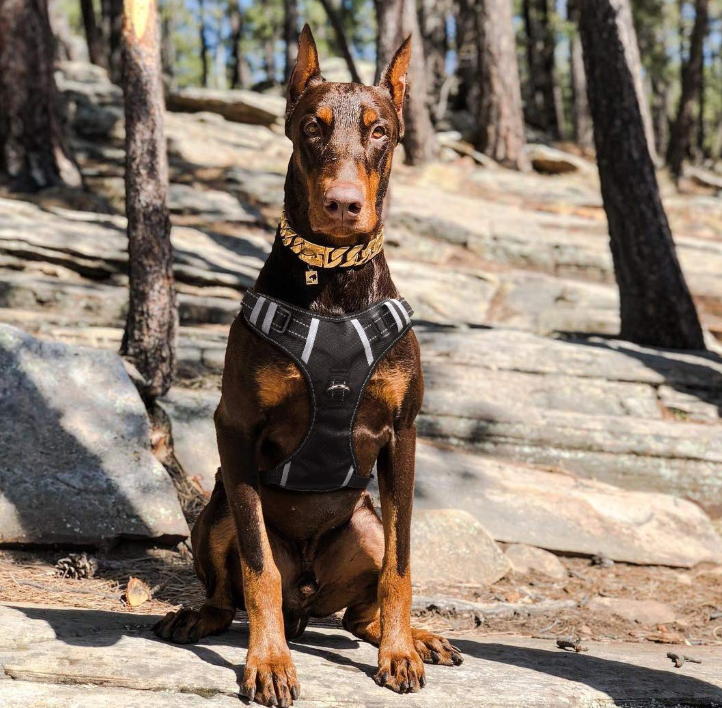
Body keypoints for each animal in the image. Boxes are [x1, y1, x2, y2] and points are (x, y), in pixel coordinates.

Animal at [153, 24, 462, 704]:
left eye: (380, 131)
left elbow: (402, 564)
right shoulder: (236, 428)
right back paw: (202, 617)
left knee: (358, 612)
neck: (335, 284)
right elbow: (258, 567)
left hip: (365, 523)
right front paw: (269, 661)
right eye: (312, 128)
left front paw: (401, 651)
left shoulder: (403, 431)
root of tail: (307, 600)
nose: (343, 205)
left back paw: (413, 636)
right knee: (234, 587)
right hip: (217, 510)